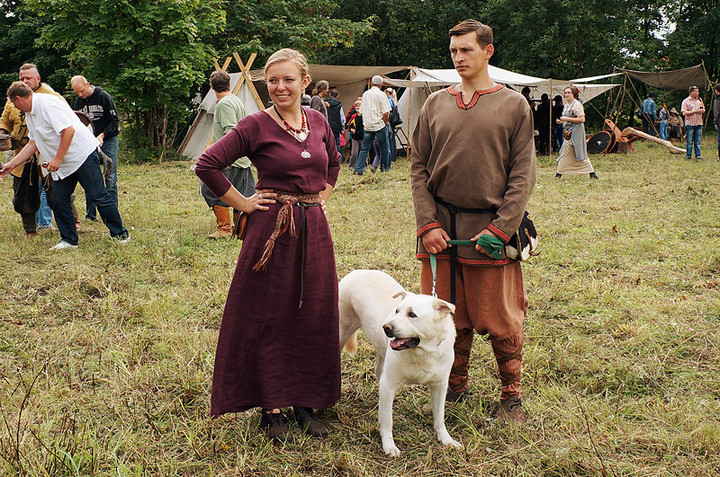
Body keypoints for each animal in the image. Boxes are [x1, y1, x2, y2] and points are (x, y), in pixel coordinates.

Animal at [338, 270, 462, 456]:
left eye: (412, 314)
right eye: (397, 311)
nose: (386, 328)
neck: (423, 351)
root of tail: (357, 271)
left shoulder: (440, 386)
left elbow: (439, 416)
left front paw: (446, 439)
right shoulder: (389, 383)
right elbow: (387, 420)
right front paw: (389, 446)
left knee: (378, 371)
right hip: (340, 333)